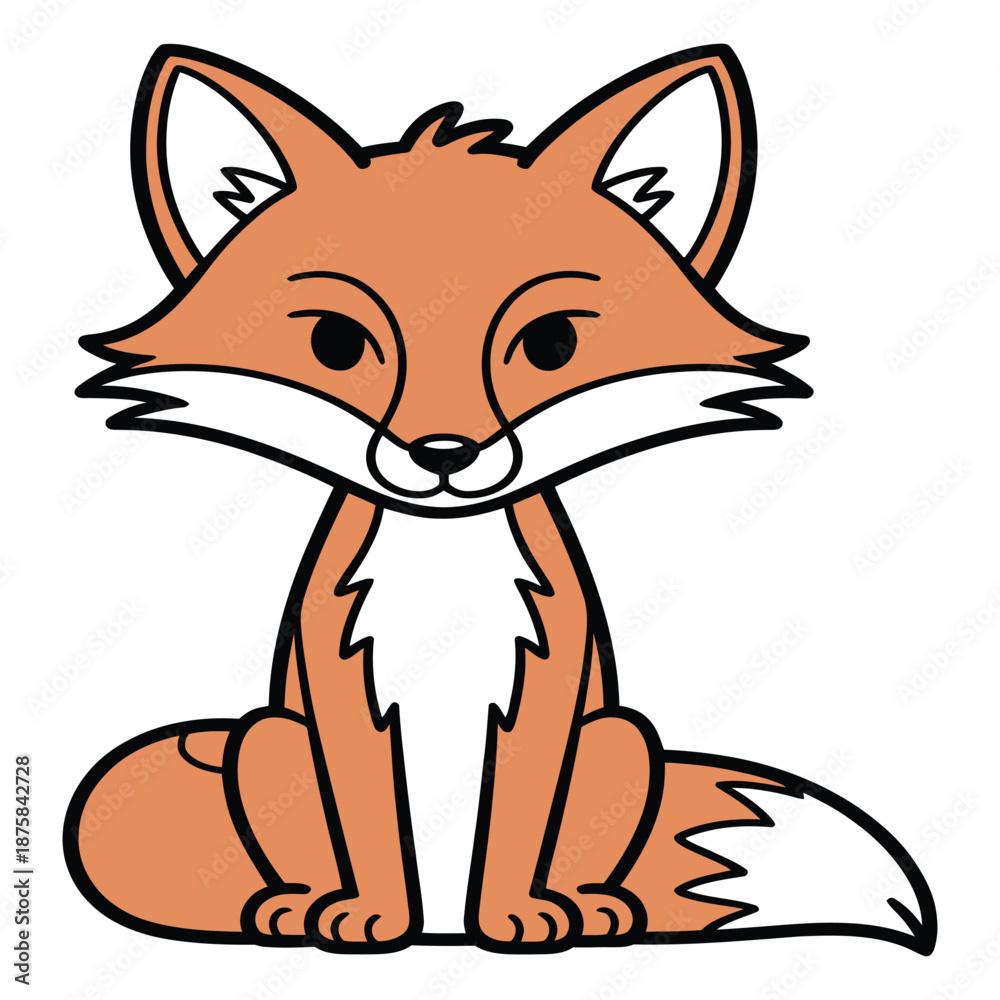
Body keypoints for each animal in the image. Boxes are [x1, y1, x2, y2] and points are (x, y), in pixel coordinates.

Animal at [64, 43, 936, 955]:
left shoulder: (540, 679)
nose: (443, 454)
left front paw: (519, 918)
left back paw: (593, 906)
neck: (446, 563)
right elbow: (370, 822)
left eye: (552, 342)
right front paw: (372, 918)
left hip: (618, 740)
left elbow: (517, 820)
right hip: (269, 740)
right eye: (335, 343)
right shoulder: (347, 684)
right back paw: (297, 906)